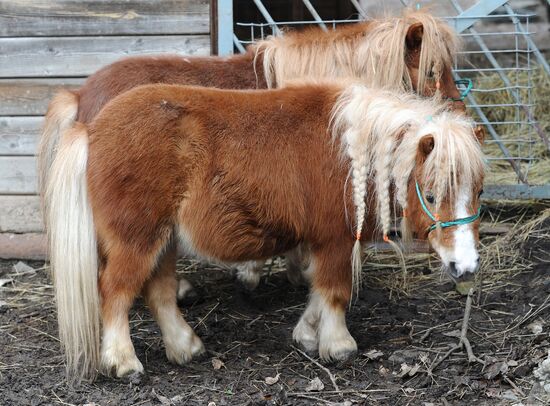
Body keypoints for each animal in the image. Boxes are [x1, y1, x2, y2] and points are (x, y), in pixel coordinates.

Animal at [47, 82, 488, 380]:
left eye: (479, 190)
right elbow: (335, 291)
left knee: (158, 293)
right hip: (136, 240)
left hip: (164, 240)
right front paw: (338, 345)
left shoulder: (325, 243)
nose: (465, 267)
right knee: (115, 292)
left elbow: (318, 291)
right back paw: (124, 362)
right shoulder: (334, 240)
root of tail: (92, 129)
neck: (353, 149)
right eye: (431, 194)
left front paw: (307, 334)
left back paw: (185, 348)